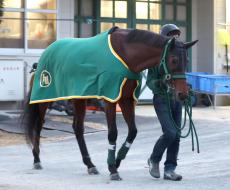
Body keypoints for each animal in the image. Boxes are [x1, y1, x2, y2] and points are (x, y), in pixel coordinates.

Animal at [22, 26, 198, 180]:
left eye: (187, 59)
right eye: (174, 59)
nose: (183, 94)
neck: (125, 54)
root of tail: (43, 56)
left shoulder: (126, 100)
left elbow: (133, 132)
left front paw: (117, 161)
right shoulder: (110, 99)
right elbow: (113, 133)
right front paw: (113, 169)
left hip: (79, 99)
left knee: (78, 128)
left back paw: (90, 165)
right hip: (45, 99)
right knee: (38, 125)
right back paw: (37, 160)